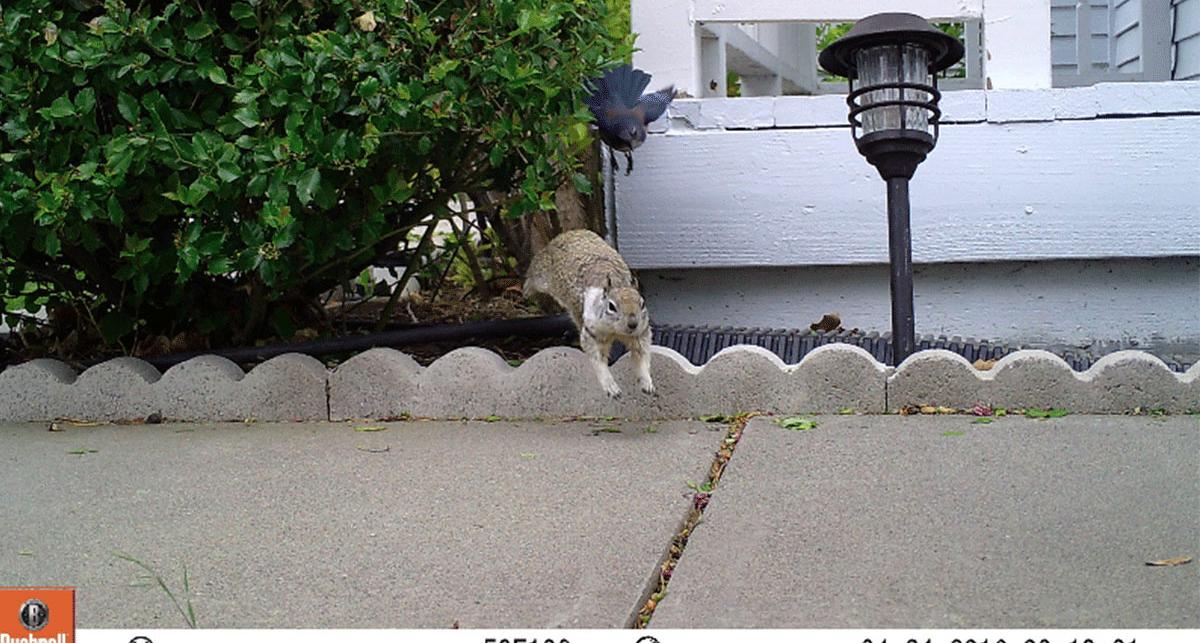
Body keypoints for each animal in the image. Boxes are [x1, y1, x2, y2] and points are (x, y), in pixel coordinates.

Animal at [520, 229, 652, 393]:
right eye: (611, 306)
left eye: (642, 303)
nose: (633, 324)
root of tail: (569, 234)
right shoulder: (591, 333)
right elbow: (598, 360)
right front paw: (610, 385)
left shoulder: (640, 334)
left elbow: (642, 355)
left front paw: (647, 381)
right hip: (542, 275)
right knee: (533, 275)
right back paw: (526, 290)